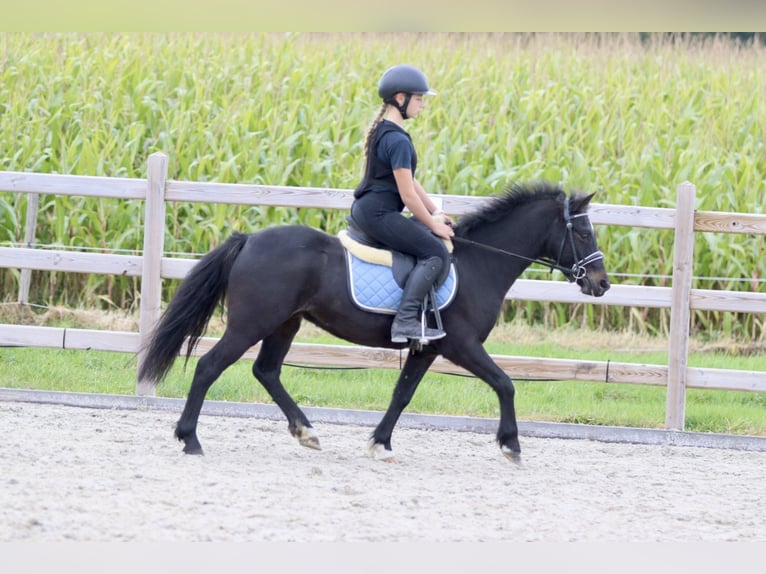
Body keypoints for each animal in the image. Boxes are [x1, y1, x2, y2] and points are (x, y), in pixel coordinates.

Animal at [138, 181, 612, 464]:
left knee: (266, 371)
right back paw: (190, 439)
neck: (480, 263)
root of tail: (250, 238)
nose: (602, 283)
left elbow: (402, 395)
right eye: (583, 233)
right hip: (251, 324)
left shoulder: (428, 348)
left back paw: (306, 432)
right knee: (209, 367)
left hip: (285, 324)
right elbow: (505, 383)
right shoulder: (462, 345)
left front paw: (379, 442)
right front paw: (511, 444)